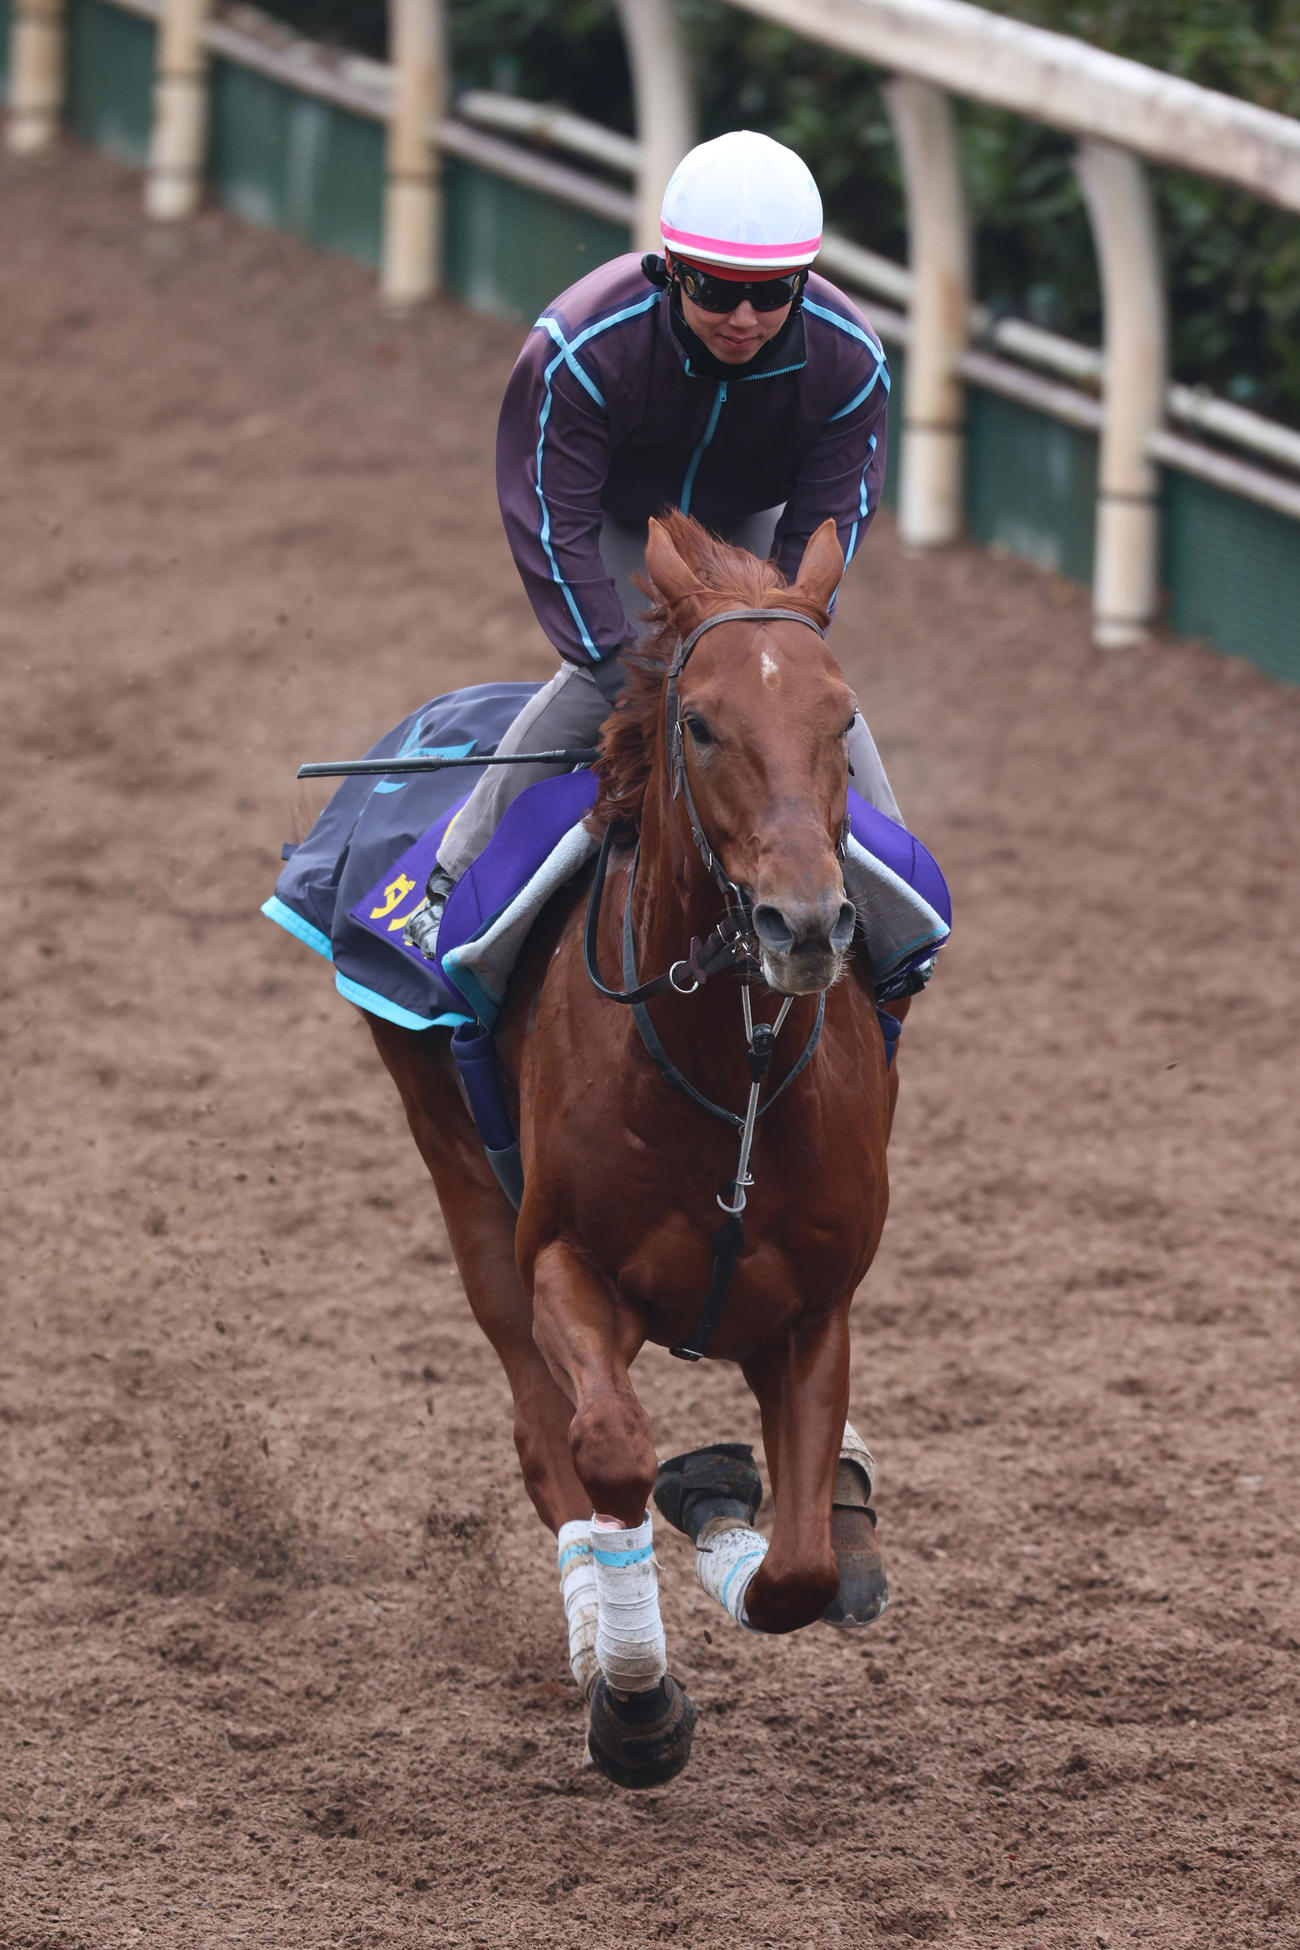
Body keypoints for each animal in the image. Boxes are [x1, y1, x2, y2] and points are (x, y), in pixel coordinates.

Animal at [367, 511, 907, 1787]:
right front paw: (636, 1702)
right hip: (459, 1176)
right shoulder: (566, 1258)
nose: (803, 925)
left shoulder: (815, 1308)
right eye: (699, 721)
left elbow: (797, 1573)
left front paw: (737, 1511)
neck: (730, 1071)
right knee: (539, 1431)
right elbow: (607, 1449)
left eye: (841, 717)